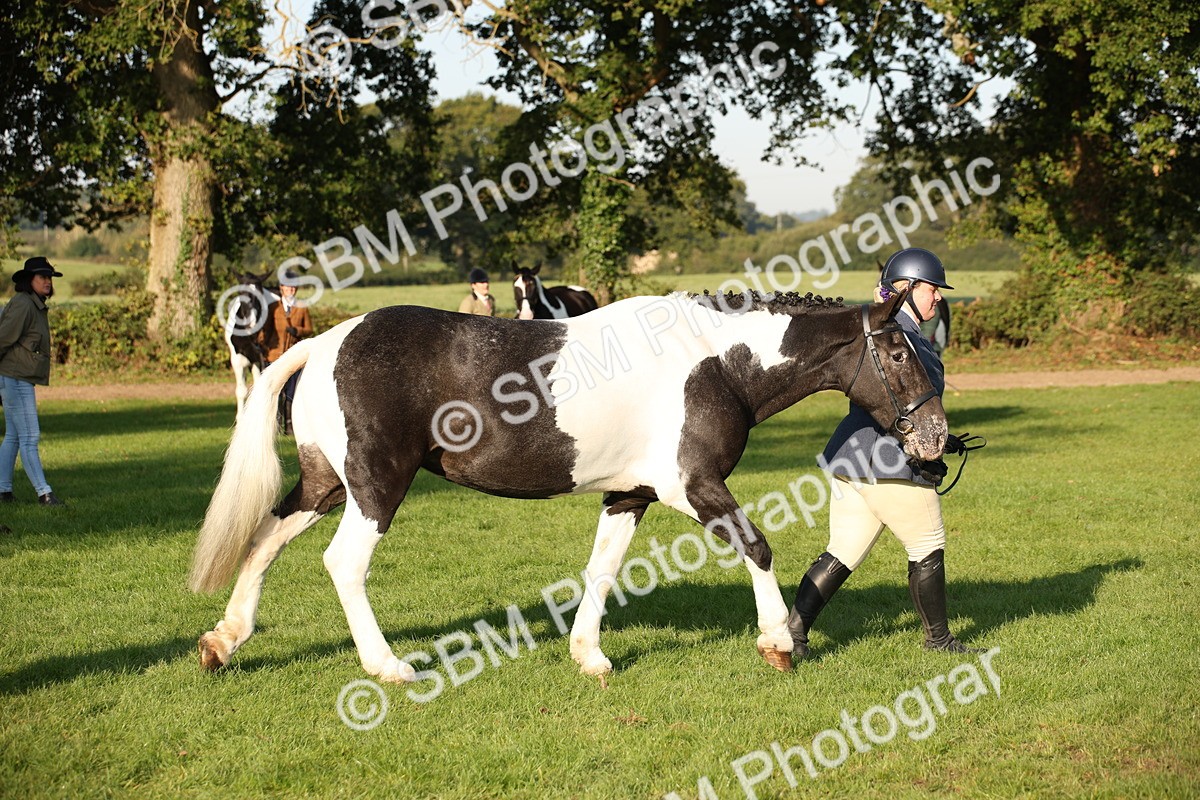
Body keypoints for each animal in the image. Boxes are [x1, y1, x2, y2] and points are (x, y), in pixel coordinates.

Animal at [189, 290, 947, 685]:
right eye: (898, 351)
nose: (936, 438)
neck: (716, 363)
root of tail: (328, 341)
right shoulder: (693, 485)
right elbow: (757, 547)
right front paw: (778, 643)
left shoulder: (630, 495)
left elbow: (602, 569)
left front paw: (589, 655)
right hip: (376, 487)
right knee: (342, 563)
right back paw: (389, 666)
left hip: (325, 485)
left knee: (265, 537)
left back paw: (224, 641)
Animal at [221, 272, 273, 420]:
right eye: (241, 293)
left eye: (261, 294)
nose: (252, 323)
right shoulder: (237, 359)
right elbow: (241, 391)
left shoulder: (262, 359)